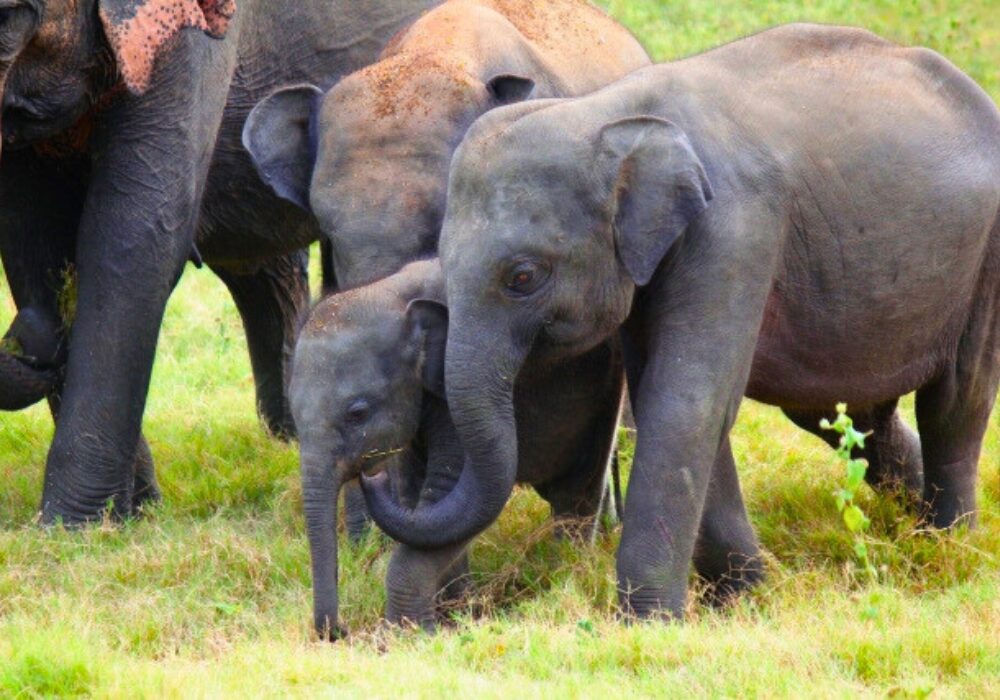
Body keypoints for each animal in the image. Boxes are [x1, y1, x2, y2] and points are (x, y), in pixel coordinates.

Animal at [0, 0, 440, 524]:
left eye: (7, 19)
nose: (21, 341)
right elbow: (34, 245)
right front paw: (130, 515)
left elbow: (133, 240)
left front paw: (73, 527)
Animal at [288, 260, 624, 636]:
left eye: (357, 413)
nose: (341, 631)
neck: (392, 292)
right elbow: (417, 495)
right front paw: (456, 616)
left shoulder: (452, 395)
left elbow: (444, 496)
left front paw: (434, 628)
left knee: (576, 492)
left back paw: (566, 572)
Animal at [364, 24, 1000, 620]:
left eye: (523, 276)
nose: (372, 478)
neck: (607, 112)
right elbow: (668, 398)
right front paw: (741, 598)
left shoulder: (735, 226)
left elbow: (687, 400)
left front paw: (648, 621)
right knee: (844, 412)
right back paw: (913, 530)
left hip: (987, 253)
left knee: (956, 399)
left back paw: (951, 551)